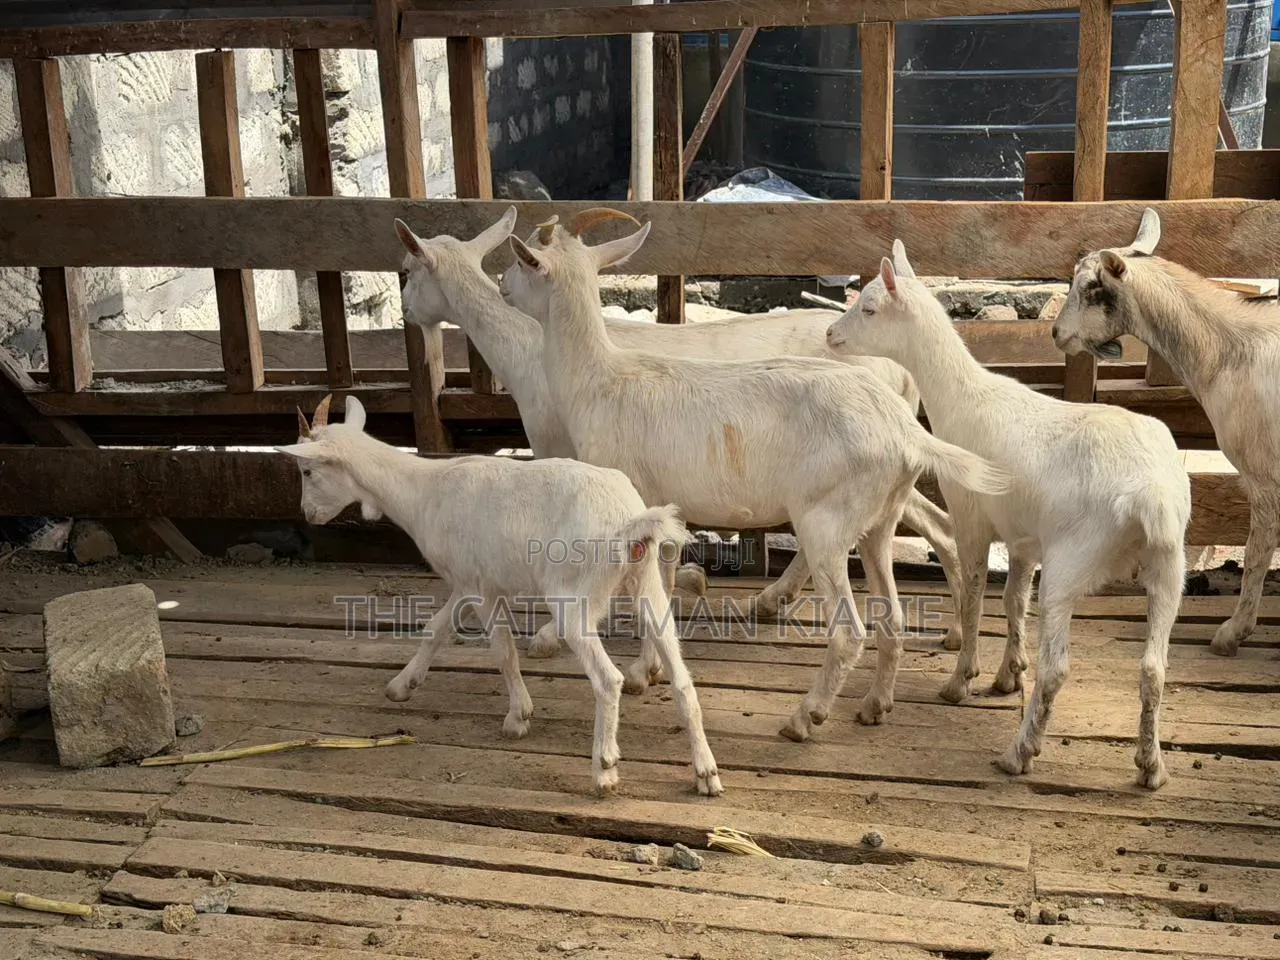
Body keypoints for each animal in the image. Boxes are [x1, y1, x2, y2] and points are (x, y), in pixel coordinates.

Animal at [277, 395, 722, 797]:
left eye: (306, 470)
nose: (309, 514)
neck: (423, 490)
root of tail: (628, 521)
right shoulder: (466, 580)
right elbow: (436, 628)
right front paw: (402, 685)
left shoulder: (481, 588)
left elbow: (502, 651)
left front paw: (518, 716)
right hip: (646, 586)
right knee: (682, 679)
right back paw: (706, 773)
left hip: (572, 597)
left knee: (607, 678)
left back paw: (604, 769)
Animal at [502, 210, 1011, 742]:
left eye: (520, 261)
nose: (500, 284)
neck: (601, 379)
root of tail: (905, 429)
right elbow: (663, 585)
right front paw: (651, 668)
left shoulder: (636, 500)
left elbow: (648, 592)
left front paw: (640, 671)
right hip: (879, 520)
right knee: (890, 617)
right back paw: (875, 705)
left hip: (827, 520)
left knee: (850, 631)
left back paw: (805, 717)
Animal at [825, 240, 1190, 789]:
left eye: (868, 308)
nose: (830, 334)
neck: (962, 397)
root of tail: (1152, 496)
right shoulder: (1023, 538)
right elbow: (1014, 600)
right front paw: (1006, 675)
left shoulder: (972, 514)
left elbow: (974, 594)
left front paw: (961, 680)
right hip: (1170, 565)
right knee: (1153, 668)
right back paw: (1151, 766)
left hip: (1074, 558)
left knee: (1058, 667)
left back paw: (1020, 752)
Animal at [1052, 208, 1280, 658]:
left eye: (1090, 288)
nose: (1056, 333)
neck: (1228, 349)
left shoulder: (1262, 471)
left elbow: (1257, 551)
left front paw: (1232, 633)